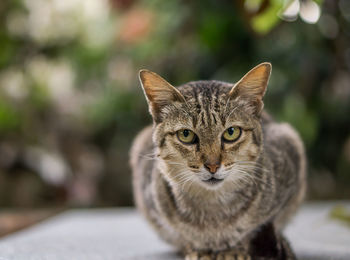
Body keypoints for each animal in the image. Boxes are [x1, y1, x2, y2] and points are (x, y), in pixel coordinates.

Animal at [131, 63, 306, 260]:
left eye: (231, 132)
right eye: (186, 134)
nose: (212, 166)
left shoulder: (291, 150)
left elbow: (260, 226)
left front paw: (236, 248)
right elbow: (181, 234)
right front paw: (198, 248)